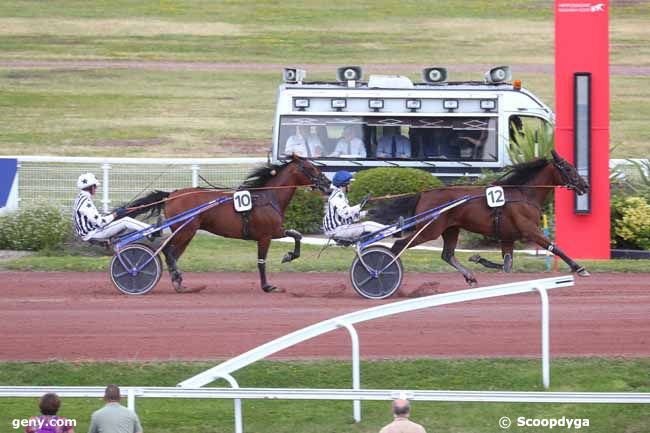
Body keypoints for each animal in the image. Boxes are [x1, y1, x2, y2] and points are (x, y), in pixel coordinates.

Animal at [126, 154, 330, 292]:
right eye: (310, 167)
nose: (327, 184)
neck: (267, 197)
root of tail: (171, 194)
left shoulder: (275, 232)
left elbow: (297, 235)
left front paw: (289, 256)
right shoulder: (267, 235)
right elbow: (262, 261)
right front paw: (267, 285)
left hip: (186, 232)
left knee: (172, 254)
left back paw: (178, 282)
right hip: (186, 231)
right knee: (169, 250)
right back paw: (175, 277)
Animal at [370, 150, 588, 286]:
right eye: (568, 168)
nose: (585, 185)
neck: (524, 194)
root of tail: (424, 193)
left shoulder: (507, 237)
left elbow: (507, 265)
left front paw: (478, 258)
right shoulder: (530, 231)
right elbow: (555, 248)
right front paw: (579, 268)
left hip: (451, 229)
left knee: (447, 255)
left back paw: (470, 276)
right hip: (429, 231)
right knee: (398, 245)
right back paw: (380, 273)